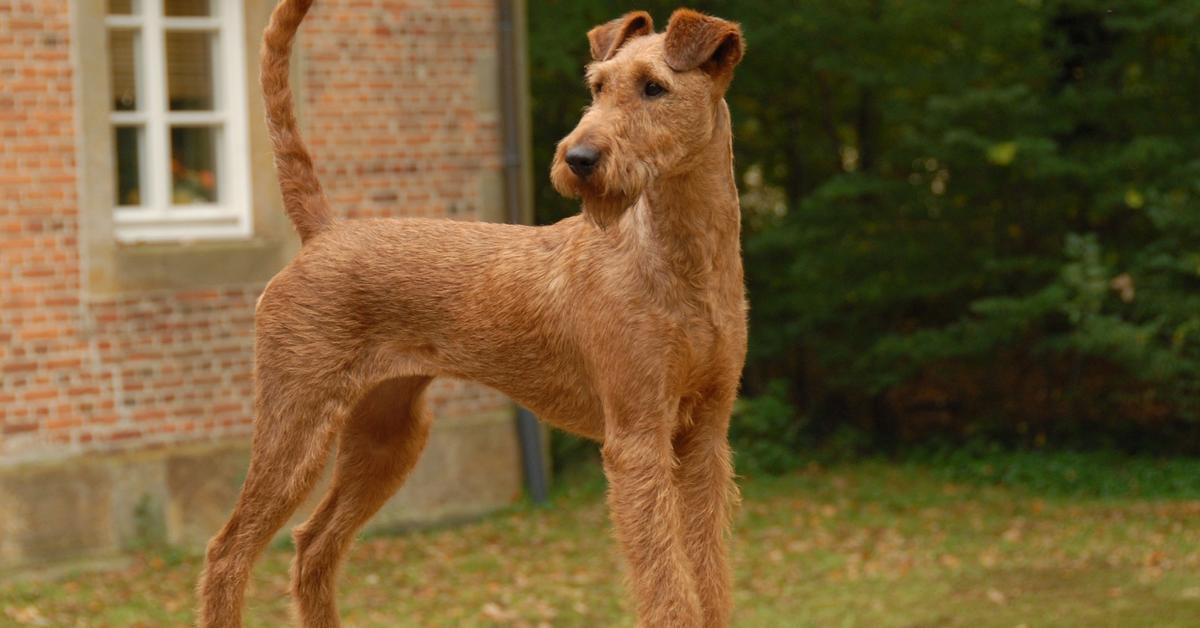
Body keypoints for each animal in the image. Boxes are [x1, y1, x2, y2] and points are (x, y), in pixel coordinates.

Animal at [195, 2, 739, 624]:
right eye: (597, 86)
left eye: (655, 87)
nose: (578, 159)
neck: (684, 259)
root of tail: (323, 233)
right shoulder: (637, 439)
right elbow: (668, 588)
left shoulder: (705, 436)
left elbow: (708, 574)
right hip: (296, 421)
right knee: (228, 552)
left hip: (388, 432)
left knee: (314, 544)